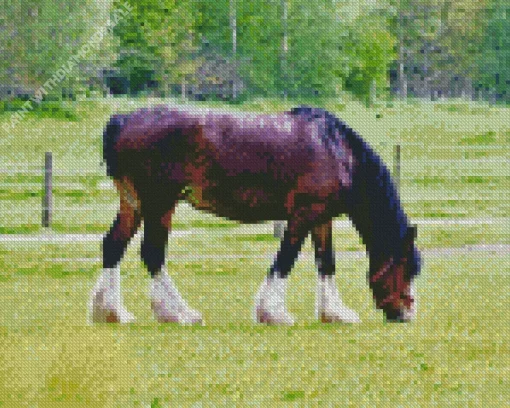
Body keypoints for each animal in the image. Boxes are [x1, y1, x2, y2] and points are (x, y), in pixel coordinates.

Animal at [89, 104, 420, 326]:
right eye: (407, 268)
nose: (405, 313)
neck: (335, 149)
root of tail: (123, 120)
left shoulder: (321, 218)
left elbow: (326, 263)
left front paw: (335, 313)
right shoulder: (302, 215)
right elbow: (285, 259)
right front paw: (273, 313)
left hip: (133, 205)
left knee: (113, 246)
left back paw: (112, 312)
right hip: (160, 205)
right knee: (153, 253)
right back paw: (179, 313)